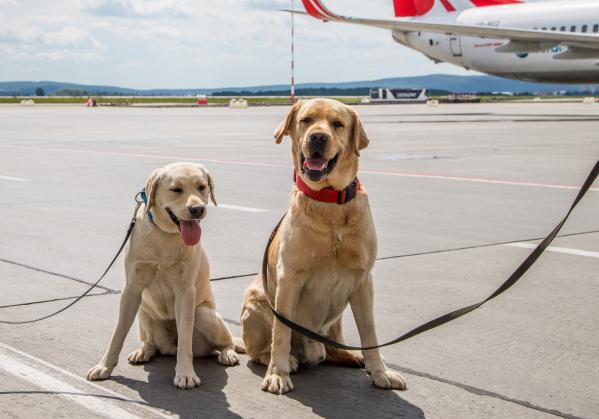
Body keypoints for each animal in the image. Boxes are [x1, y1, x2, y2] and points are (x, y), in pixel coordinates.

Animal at [87, 162, 241, 390]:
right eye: (176, 189)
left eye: (202, 187)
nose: (198, 209)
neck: (165, 235)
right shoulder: (131, 289)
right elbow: (118, 333)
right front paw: (104, 366)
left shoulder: (186, 292)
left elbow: (185, 340)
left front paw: (185, 373)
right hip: (143, 310)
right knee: (152, 343)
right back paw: (144, 350)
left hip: (203, 314)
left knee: (224, 341)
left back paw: (228, 353)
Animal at [240, 98, 408, 394]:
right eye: (306, 120)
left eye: (338, 124)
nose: (318, 137)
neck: (329, 202)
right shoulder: (288, 279)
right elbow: (281, 333)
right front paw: (278, 373)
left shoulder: (363, 280)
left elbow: (370, 332)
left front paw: (379, 371)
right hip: (255, 301)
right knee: (262, 349)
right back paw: (287, 360)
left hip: (337, 313)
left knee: (333, 346)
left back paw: (350, 356)